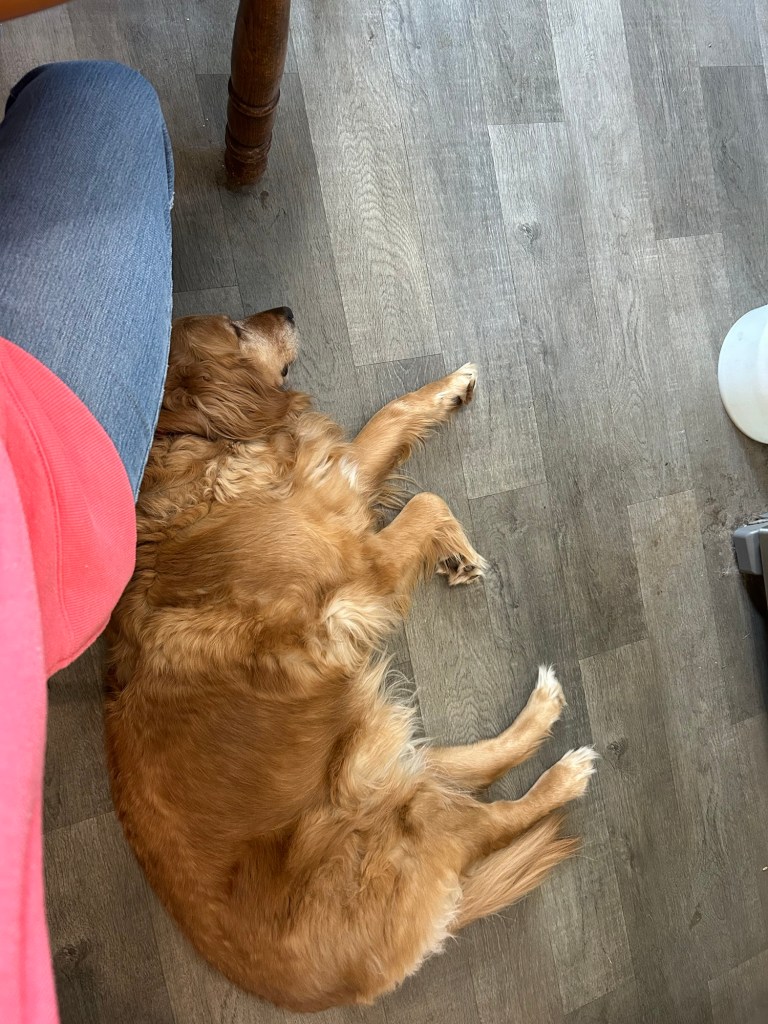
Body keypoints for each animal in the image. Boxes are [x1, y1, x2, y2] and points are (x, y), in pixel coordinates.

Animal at [106, 308, 596, 1011]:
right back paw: (565, 774)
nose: (286, 311)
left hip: (373, 762)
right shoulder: (358, 571)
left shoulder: (340, 487)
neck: (200, 454)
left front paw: (449, 389)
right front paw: (455, 547)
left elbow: (389, 417)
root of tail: (350, 985)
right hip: (397, 819)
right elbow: (427, 502)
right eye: (236, 328)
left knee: (469, 768)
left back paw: (544, 709)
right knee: (493, 819)